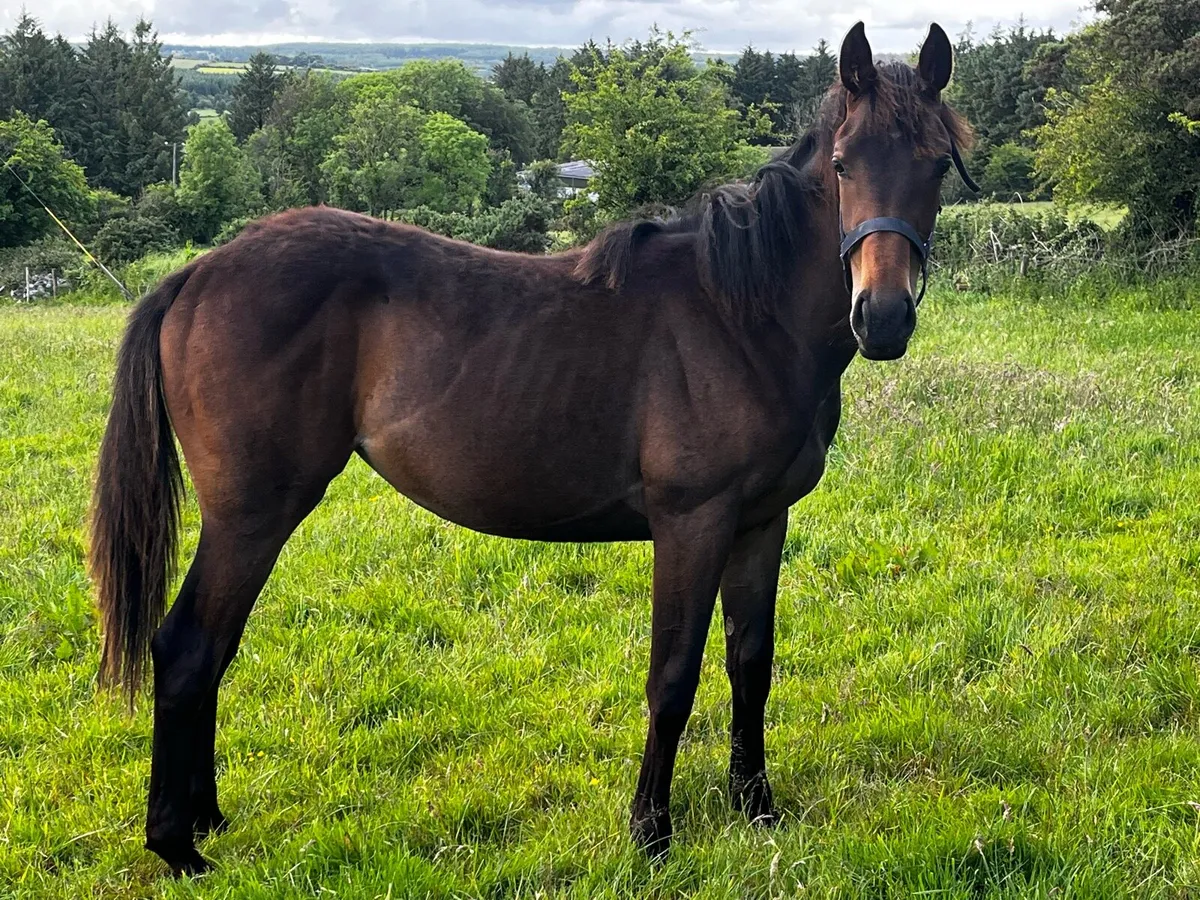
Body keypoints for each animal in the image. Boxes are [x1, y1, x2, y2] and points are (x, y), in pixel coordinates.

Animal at [89, 22, 976, 876]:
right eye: (843, 164)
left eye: (937, 165)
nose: (883, 317)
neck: (740, 316)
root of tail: (196, 274)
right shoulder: (693, 523)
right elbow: (672, 677)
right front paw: (651, 833)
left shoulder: (761, 523)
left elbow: (749, 665)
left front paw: (756, 808)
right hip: (251, 514)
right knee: (188, 648)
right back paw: (177, 845)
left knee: (215, 649)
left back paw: (205, 817)